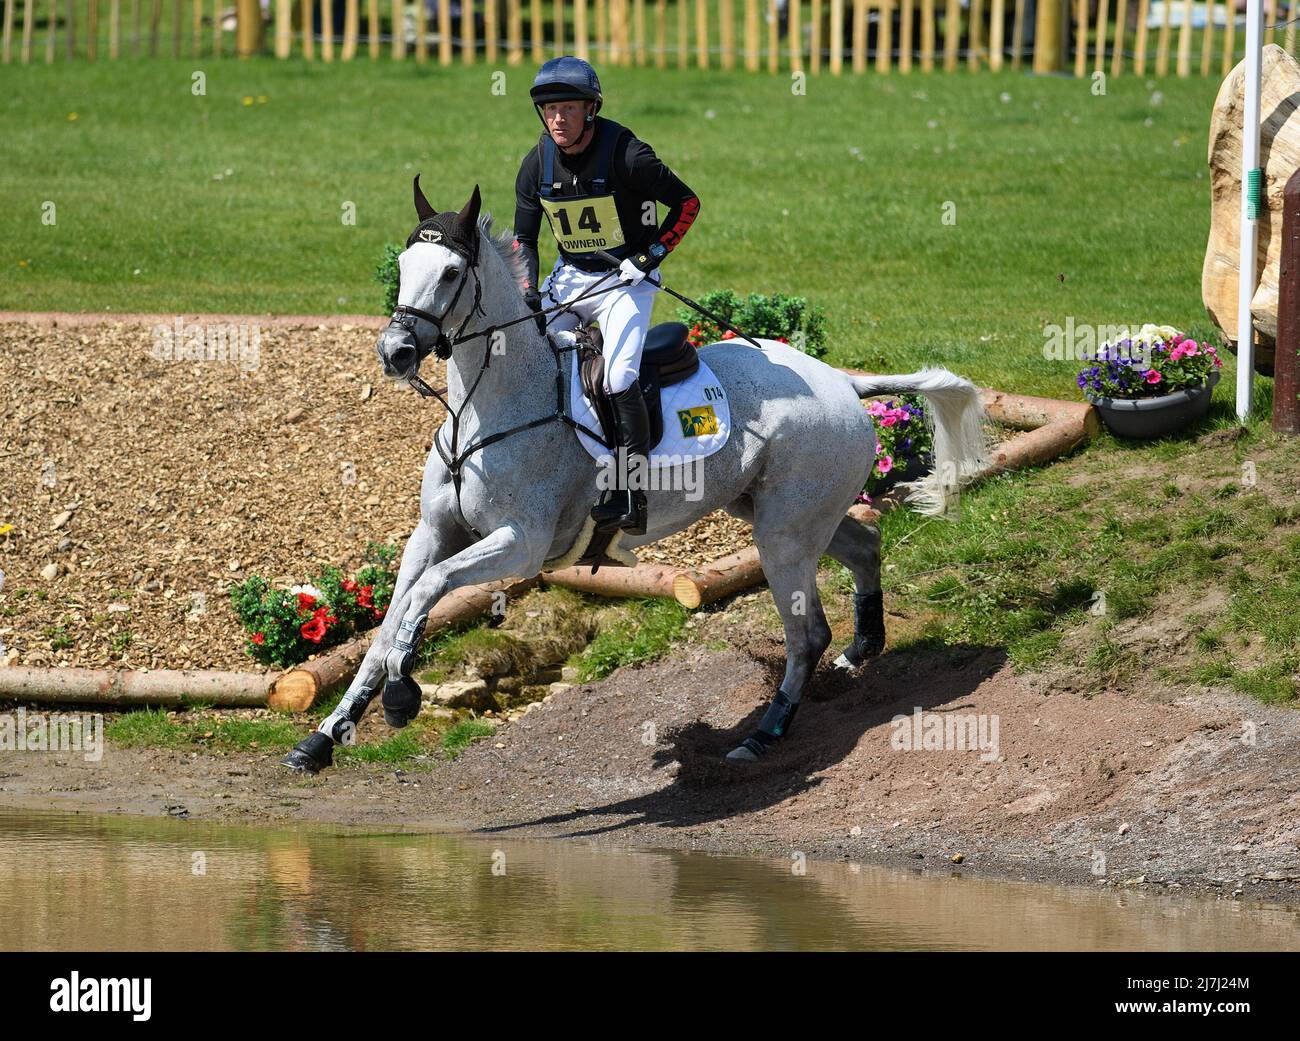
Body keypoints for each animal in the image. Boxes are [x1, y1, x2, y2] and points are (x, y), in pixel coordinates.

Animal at [279, 180, 977, 769]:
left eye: (451, 272)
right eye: (403, 268)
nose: (395, 353)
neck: (487, 407)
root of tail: (843, 383)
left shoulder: (521, 544)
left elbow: (427, 593)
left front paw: (402, 694)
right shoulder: (432, 533)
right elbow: (387, 624)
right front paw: (326, 735)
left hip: (784, 533)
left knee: (806, 634)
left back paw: (764, 733)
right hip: (782, 513)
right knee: (863, 544)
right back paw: (861, 651)